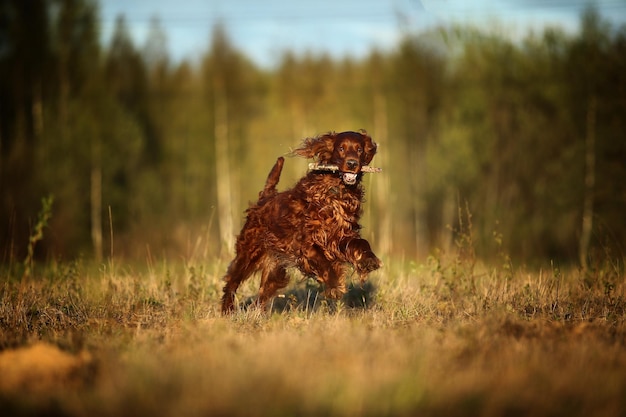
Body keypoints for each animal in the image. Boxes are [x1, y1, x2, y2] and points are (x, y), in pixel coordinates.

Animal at [222, 130, 382, 312]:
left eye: (359, 149)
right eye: (341, 148)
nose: (352, 163)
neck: (336, 192)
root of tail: (265, 197)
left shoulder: (341, 236)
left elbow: (361, 243)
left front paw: (369, 260)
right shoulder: (306, 243)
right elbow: (324, 262)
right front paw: (335, 285)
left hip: (274, 270)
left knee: (261, 296)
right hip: (248, 253)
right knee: (232, 281)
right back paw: (227, 309)